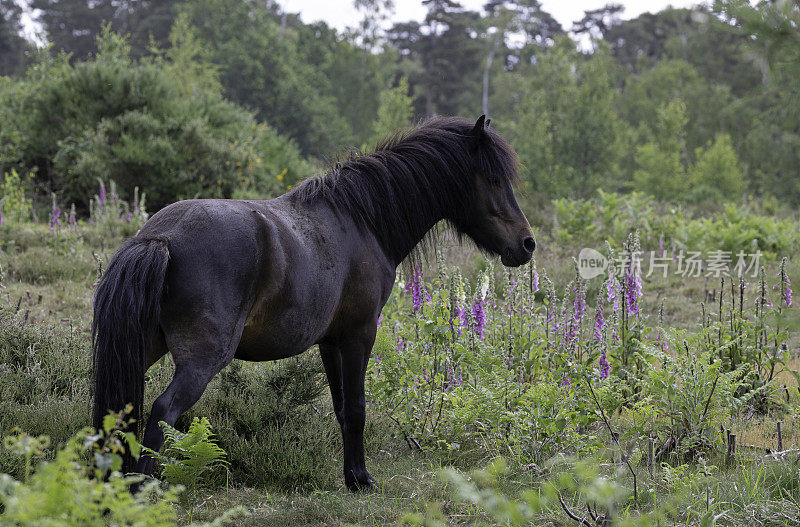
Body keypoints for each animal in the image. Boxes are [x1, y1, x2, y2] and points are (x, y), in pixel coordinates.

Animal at [92, 115, 532, 490]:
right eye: (494, 179)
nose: (527, 244)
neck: (361, 219)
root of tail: (162, 237)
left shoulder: (330, 342)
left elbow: (340, 409)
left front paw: (351, 476)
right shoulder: (359, 335)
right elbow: (356, 410)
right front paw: (362, 480)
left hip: (142, 347)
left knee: (120, 411)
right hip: (202, 359)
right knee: (162, 412)